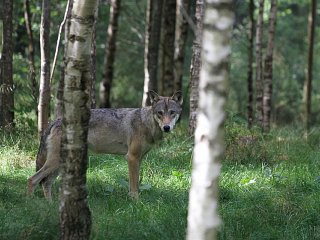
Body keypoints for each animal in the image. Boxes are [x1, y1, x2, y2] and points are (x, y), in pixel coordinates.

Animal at [28, 91, 182, 200]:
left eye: (172, 113)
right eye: (160, 113)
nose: (166, 127)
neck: (146, 123)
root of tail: (56, 120)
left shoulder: (139, 159)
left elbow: (135, 183)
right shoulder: (132, 158)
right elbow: (134, 186)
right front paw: (136, 202)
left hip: (60, 164)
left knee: (46, 183)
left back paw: (50, 206)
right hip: (55, 162)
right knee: (32, 180)